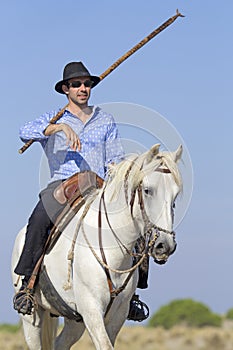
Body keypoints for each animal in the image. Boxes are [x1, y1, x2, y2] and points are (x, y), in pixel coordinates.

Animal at [11, 143, 182, 350]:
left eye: (175, 195)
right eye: (148, 190)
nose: (165, 245)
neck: (112, 249)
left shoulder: (117, 314)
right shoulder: (91, 309)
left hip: (74, 320)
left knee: (60, 343)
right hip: (33, 318)